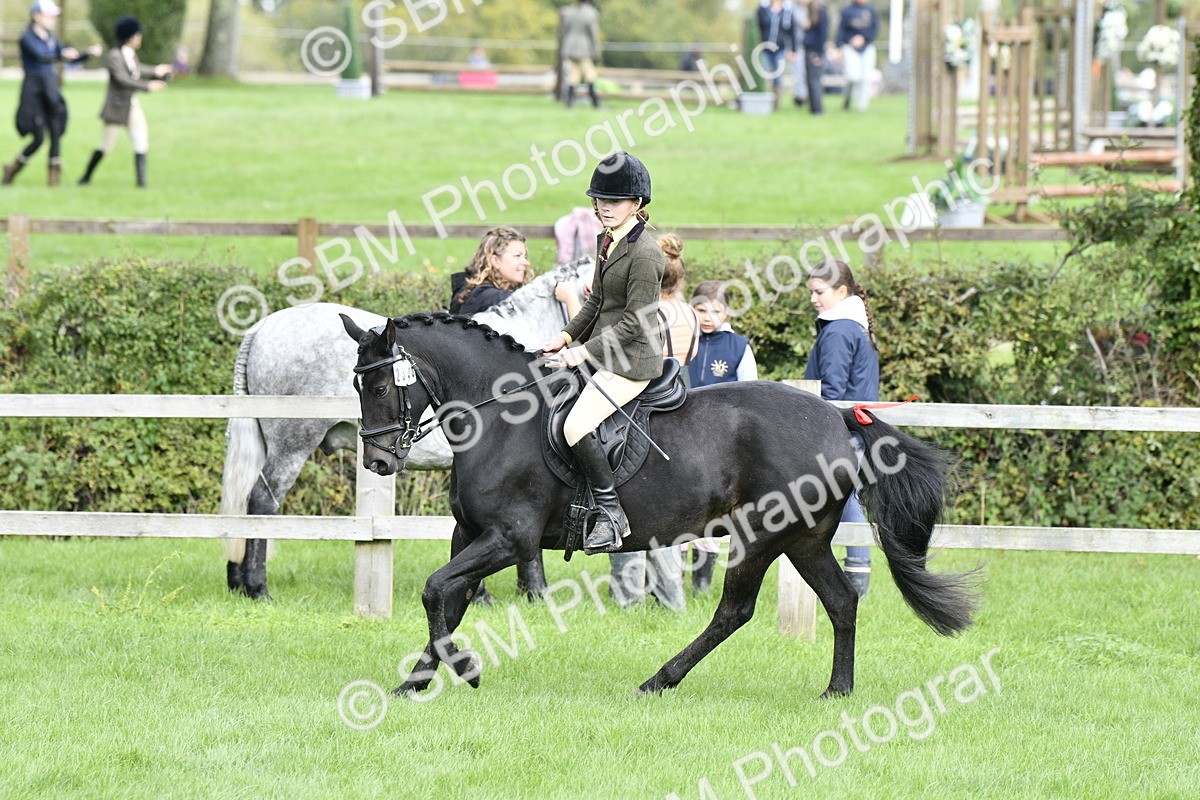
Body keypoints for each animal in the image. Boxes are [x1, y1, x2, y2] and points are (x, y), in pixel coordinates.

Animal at [220, 258, 595, 600]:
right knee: (262, 500)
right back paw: (257, 587)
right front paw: (534, 591)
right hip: (292, 444)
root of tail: (261, 328)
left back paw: (238, 580)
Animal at [340, 312, 979, 698]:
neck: (500, 415)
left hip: (761, 536)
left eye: (381, 386)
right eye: (356, 385)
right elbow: (449, 600)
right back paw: (836, 691)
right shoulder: (469, 535)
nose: (379, 463)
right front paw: (418, 682)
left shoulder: (509, 539)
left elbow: (435, 591)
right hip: (805, 539)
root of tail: (836, 415)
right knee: (842, 601)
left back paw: (660, 679)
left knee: (734, 611)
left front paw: (462, 670)